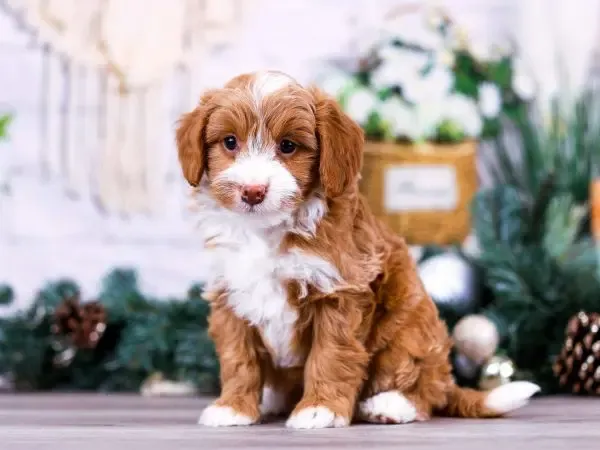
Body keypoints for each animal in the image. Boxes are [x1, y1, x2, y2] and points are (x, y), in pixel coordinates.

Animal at [175, 71, 540, 428]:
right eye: (230, 142)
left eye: (288, 146)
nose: (253, 191)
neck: (266, 231)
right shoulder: (230, 295)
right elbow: (238, 358)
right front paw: (233, 407)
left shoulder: (339, 291)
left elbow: (330, 354)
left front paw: (320, 409)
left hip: (409, 330)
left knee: (423, 386)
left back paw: (391, 404)